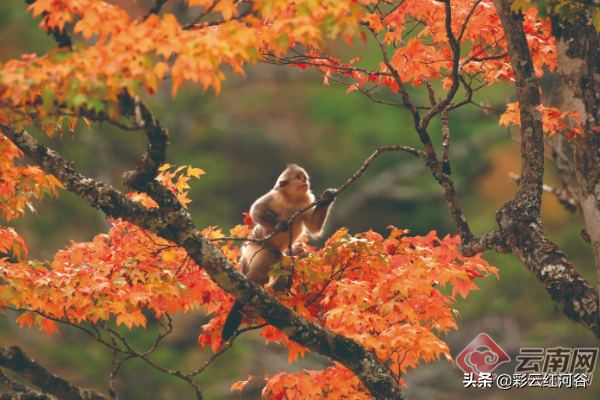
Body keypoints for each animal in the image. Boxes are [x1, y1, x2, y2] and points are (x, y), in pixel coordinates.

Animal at [220, 164, 336, 342]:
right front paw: (279, 225)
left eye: (304, 178)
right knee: (271, 257)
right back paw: (252, 283)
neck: (292, 198)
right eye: (298, 178)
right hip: (257, 248)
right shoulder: (274, 196)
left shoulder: (307, 200)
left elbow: (314, 227)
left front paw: (328, 197)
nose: (305, 181)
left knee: (285, 265)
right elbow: (255, 211)